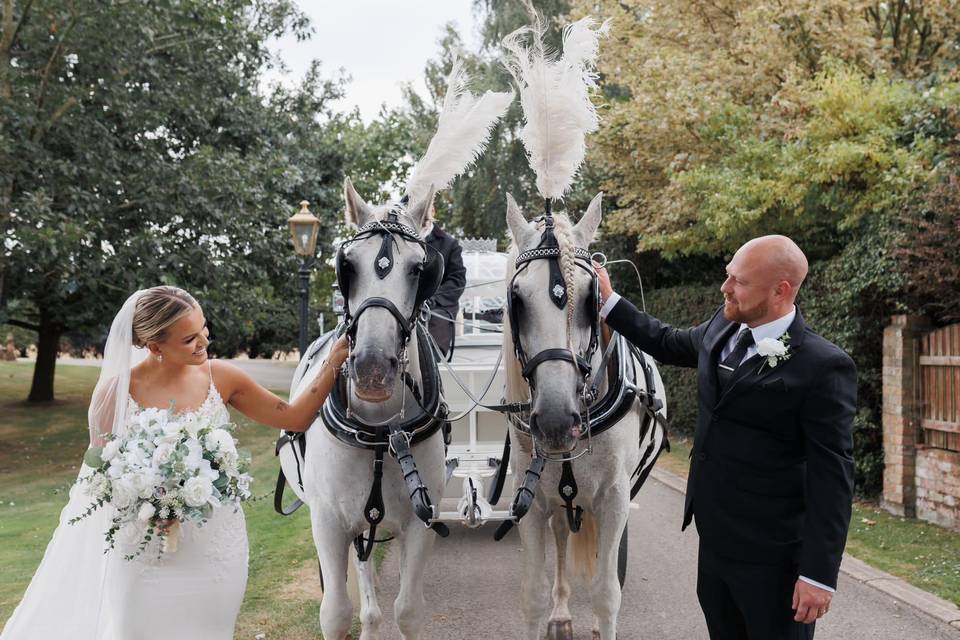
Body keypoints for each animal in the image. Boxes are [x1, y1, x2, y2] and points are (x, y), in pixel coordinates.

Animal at [280, 180, 448, 640]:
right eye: (348, 266)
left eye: (419, 270)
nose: (372, 370)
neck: (380, 432)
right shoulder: (328, 523)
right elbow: (336, 612)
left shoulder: (422, 522)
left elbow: (408, 610)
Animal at [502, 194, 668, 640]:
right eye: (517, 299)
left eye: (593, 297)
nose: (556, 420)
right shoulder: (531, 501)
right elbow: (532, 594)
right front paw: (550, 609)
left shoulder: (614, 499)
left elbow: (606, 592)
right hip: (560, 498)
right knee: (562, 536)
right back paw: (562, 612)